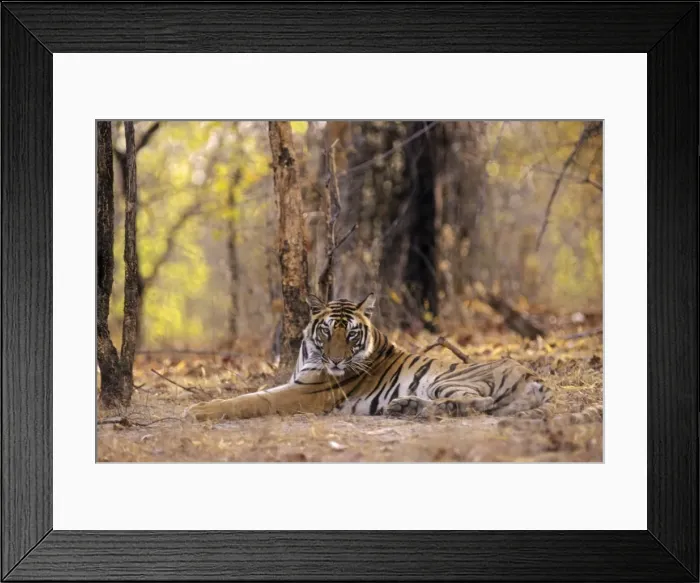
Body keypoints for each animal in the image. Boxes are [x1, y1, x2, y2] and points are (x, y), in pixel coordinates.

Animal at [184, 293, 560, 423]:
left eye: (351, 334)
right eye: (326, 332)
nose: (337, 362)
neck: (310, 354)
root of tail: (535, 377)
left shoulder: (306, 392)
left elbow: (252, 400)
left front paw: (196, 410)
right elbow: (253, 393)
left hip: (447, 379)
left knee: (475, 404)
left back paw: (413, 410)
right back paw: (404, 407)